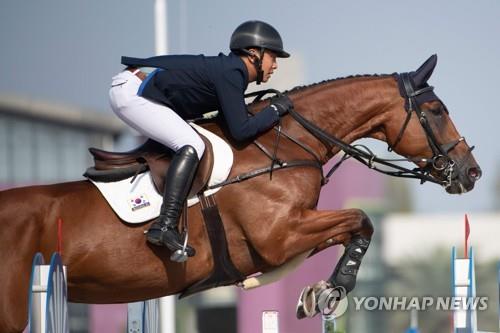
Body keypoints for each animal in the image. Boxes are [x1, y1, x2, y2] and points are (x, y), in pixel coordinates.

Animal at [0, 54, 480, 330]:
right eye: (437, 110)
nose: (471, 172)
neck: (286, 144)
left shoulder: (290, 235)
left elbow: (349, 228)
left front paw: (316, 291)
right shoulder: (279, 235)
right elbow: (361, 220)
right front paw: (332, 288)